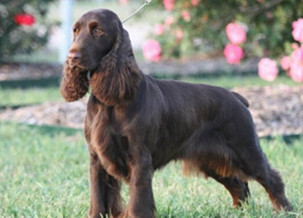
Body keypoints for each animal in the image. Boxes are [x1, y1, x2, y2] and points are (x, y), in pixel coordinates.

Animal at [61, 8, 292, 218]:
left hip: (246, 150)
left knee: (272, 178)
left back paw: (285, 210)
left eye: (98, 30)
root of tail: (236, 97)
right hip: (213, 159)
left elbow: (138, 201)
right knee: (239, 184)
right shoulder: (96, 158)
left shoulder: (139, 158)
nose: (72, 57)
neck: (110, 102)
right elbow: (97, 200)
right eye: (75, 30)